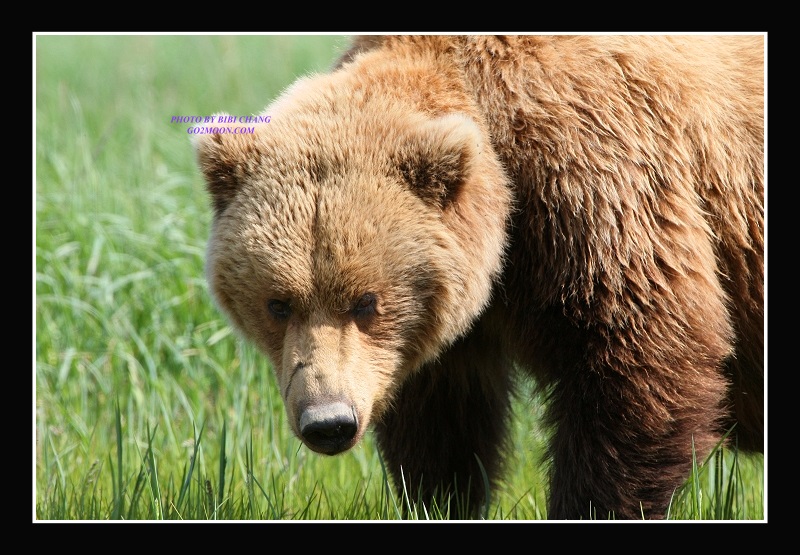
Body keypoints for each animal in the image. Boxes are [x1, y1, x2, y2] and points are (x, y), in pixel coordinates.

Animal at [195, 35, 764, 520]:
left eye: (366, 301)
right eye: (278, 303)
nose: (329, 421)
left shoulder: (596, 192)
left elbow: (640, 360)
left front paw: (588, 502)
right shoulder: (448, 323)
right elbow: (445, 422)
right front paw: (440, 497)